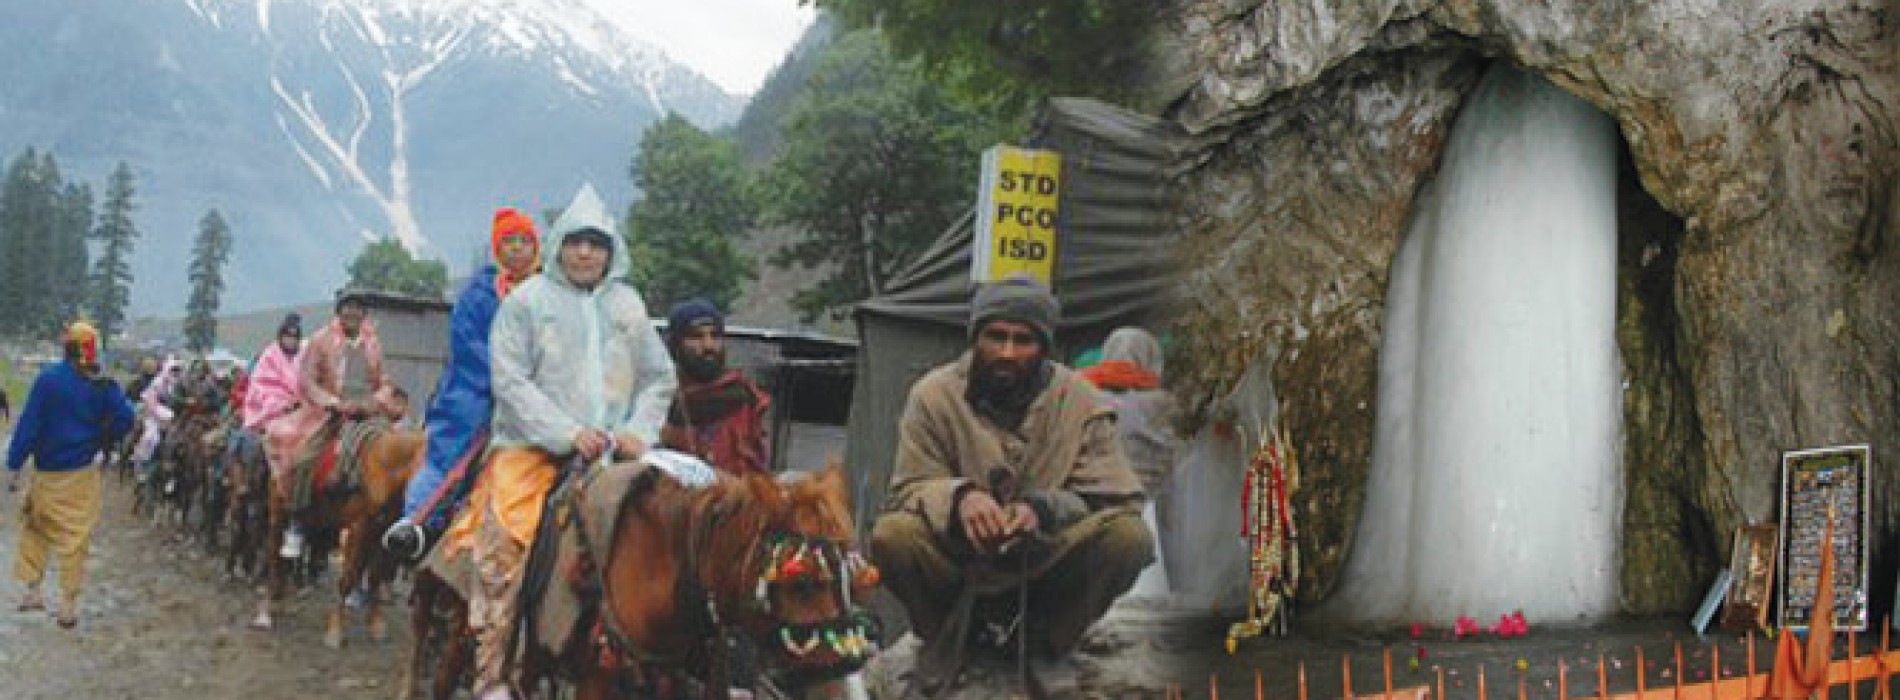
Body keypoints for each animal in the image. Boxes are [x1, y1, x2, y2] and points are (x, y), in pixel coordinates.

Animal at [252, 420, 423, 650]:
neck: (383, 469)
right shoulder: (358, 528)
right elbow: (348, 579)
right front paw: (336, 630)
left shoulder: (382, 531)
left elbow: (376, 577)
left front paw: (376, 623)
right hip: (278, 508)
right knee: (274, 552)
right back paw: (273, 602)